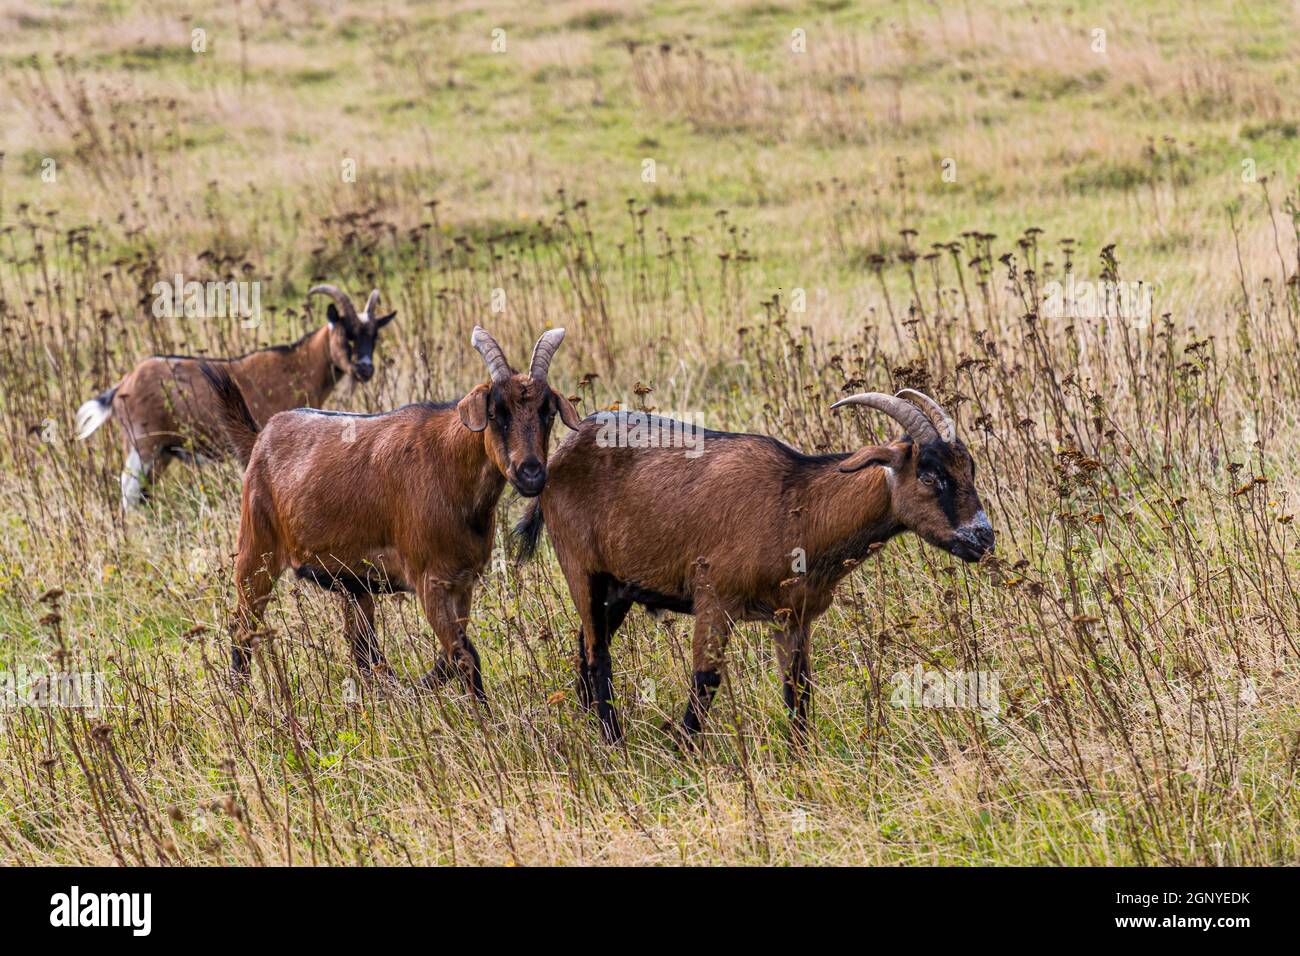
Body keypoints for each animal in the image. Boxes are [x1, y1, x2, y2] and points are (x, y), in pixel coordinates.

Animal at [78, 283, 392, 509]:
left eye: (374, 337)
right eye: (346, 335)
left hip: (161, 451)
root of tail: (122, 385)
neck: (295, 366)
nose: (365, 369)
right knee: (128, 491)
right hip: (142, 445)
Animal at [201, 325, 579, 697]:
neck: (450, 467)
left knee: (361, 648)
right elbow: (465, 655)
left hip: (352, 583)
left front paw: (416, 689)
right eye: (496, 413)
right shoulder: (430, 579)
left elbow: (451, 655)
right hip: (256, 550)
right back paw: (241, 695)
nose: (531, 472)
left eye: (548, 412)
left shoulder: (462, 582)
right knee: (243, 625)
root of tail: (261, 436)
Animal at [512, 390, 987, 749]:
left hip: (618, 588)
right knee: (598, 655)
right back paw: (614, 742)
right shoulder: (715, 599)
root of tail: (560, 455)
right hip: (581, 568)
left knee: (585, 647)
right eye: (928, 475)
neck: (798, 504)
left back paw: (590, 723)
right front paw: (683, 753)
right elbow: (706, 680)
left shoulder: (792, 617)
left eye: (970, 468)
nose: (983, 537)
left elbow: (799, 689)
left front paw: (801, 756)